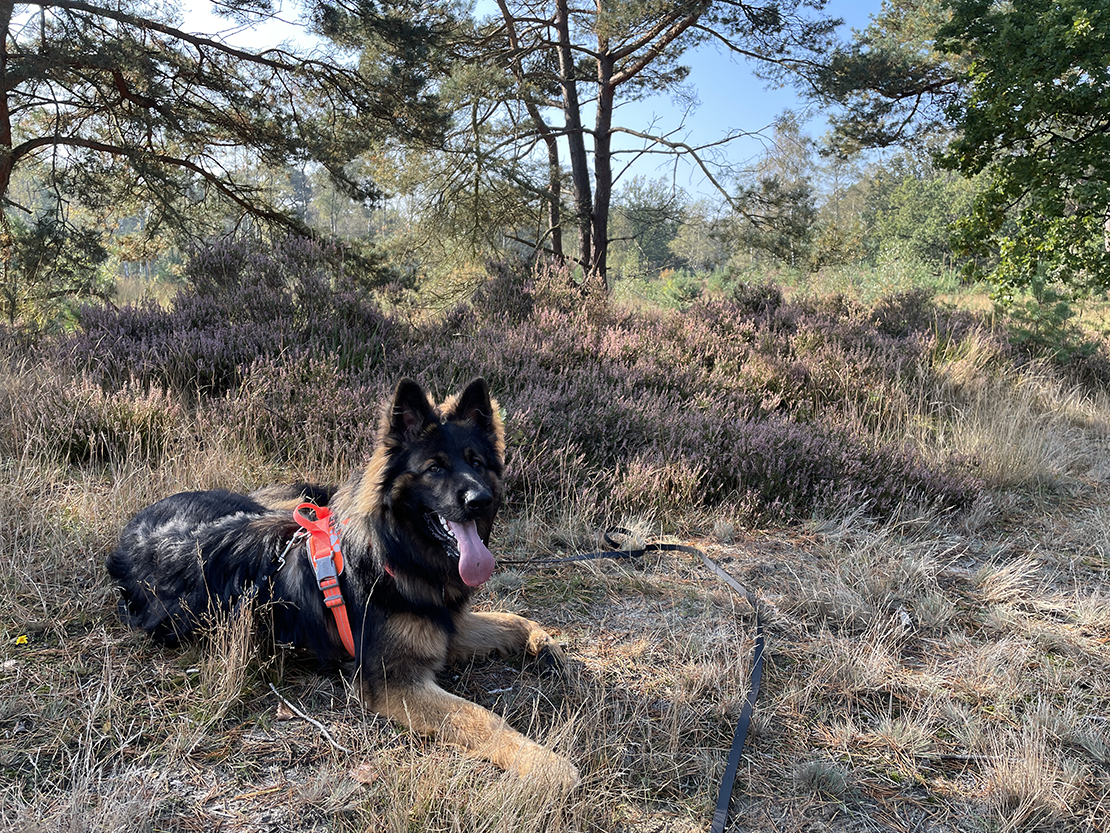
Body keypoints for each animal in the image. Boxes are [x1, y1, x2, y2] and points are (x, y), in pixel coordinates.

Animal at [106, 377, 581, 790]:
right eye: (434, 468)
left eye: (476, 463)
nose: (479, 499)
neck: (393, 553)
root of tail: (128, 533)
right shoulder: (395, 681)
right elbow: (481, 717)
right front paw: (546, 764)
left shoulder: (443, 625)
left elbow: (512, 618)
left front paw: (546, 644)